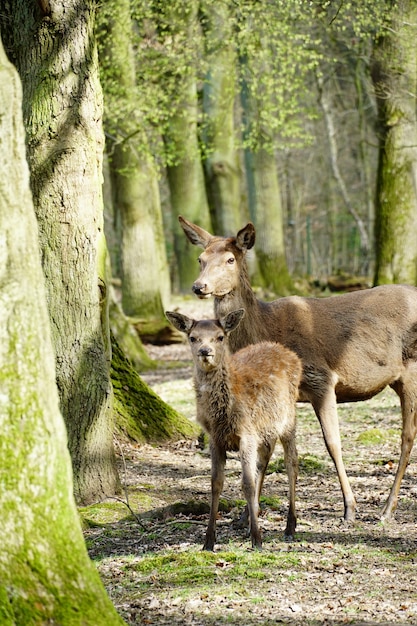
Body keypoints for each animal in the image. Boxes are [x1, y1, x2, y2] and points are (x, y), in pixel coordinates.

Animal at [164, 308, 300, 552]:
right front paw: (208, 541)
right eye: (193, 337)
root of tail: (290, 353)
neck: (222, 415)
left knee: (291, 463)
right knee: (265, 460)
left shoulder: (246, 433)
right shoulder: (215, 438)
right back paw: (248, 518)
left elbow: (247, 483)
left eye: (220, 337)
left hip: (288, 418)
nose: (205, 352)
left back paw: (290, 526)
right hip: (266, 429)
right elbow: (216, 483)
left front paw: (257, 540)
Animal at [180, 216, 417, 520]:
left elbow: (333, 443)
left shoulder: (322, 379)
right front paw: (248, 513)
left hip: (411, 368)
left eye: (230, 259)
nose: (199, 286)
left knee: (407, 435)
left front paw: (350, 507)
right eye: (201, 259)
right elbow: (265, 450)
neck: (267, 329)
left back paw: (387, 508)